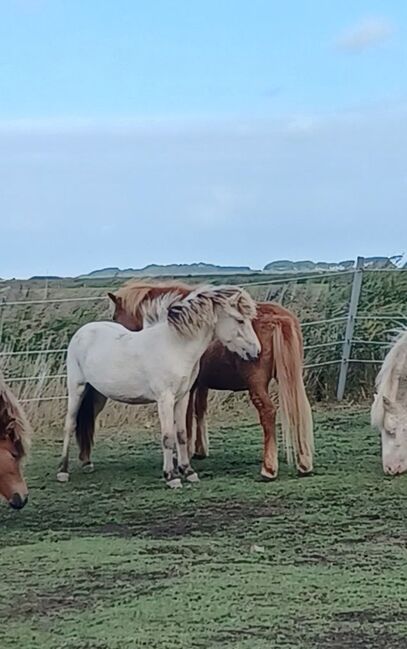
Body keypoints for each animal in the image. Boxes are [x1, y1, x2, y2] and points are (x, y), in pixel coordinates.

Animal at [56, 284, 262, 486]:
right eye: (240, 320)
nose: (256, 351)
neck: (175, 347)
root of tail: (82, 331)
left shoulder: (182, 397)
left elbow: (181, 434)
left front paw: (188, 471)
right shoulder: (165, 399)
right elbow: (168, 437)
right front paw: (171, 477)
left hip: (98, 394)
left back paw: (87, 463)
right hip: (77, 388)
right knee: (69, 424)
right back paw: (63, 471)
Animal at [107, 276, 314, 478]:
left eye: (116, 317)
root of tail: (279, 317)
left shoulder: (188, 388)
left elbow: (187, 418)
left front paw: (186, 454)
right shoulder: (200, 386)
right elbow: (199, 410)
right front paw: (199, 450)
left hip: (257, 384)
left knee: (268, 412)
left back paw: (269, 468)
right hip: (291, 379)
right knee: (298, 408)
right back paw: (304, 463)